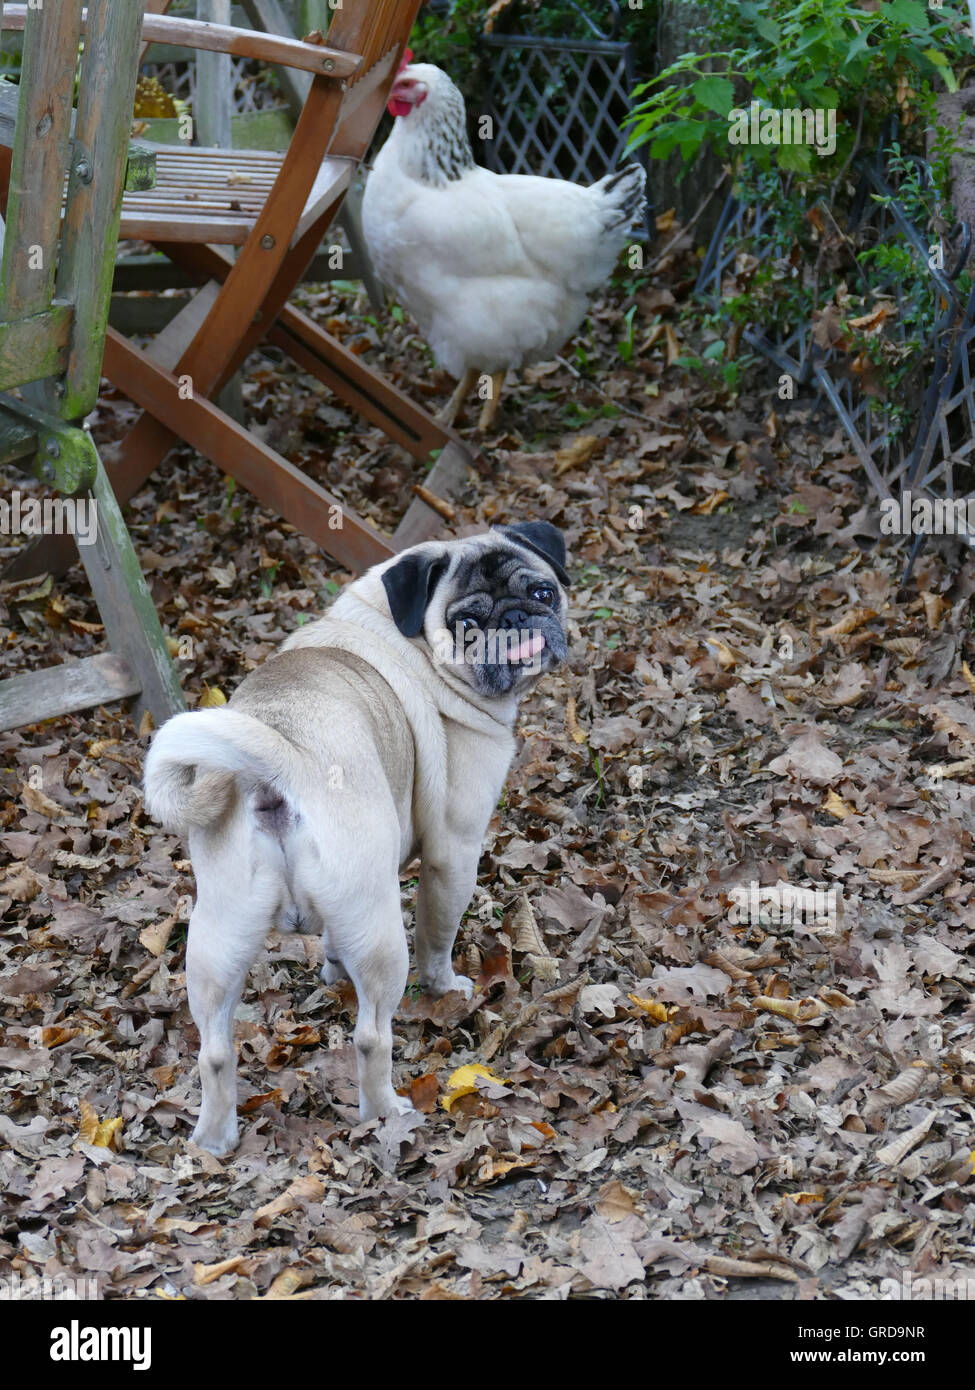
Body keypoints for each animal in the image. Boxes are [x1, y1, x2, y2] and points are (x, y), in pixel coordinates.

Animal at [145, 519, 570, 1150]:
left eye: (542, 592)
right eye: (468, 625)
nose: (518, 618)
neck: (408, 638)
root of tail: (279, 759)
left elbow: (331, 944)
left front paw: (331, 969)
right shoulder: (453, 853)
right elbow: (438, 937)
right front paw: (447, 987)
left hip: (218, 939)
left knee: (215, 1052)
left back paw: (214, 1141)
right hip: (379, 929)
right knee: (372, 1035)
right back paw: (386, 1111)